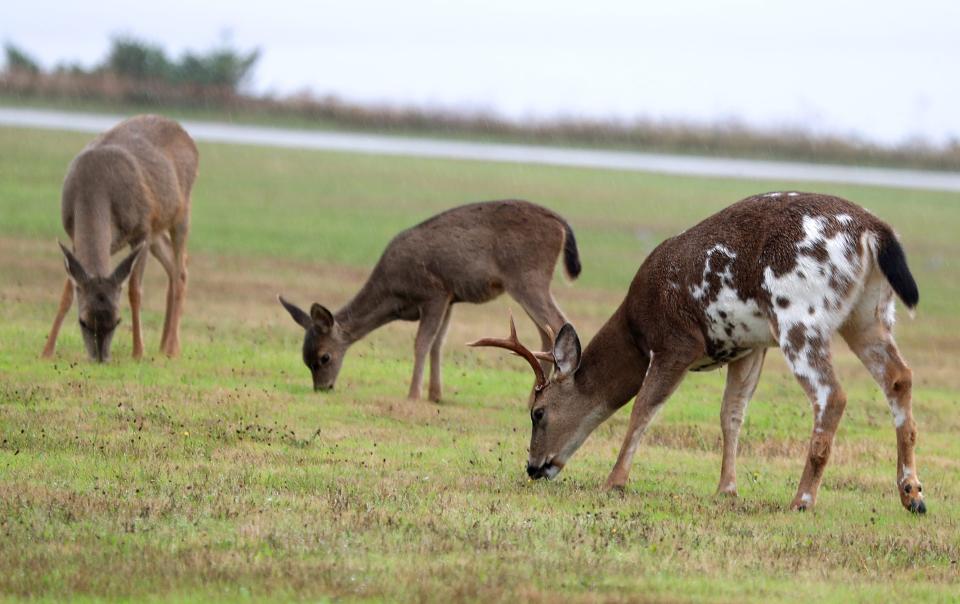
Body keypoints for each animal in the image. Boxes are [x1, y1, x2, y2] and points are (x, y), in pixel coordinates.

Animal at [41, 115, 199, 364]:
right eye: (83, 321)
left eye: (117, 321)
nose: (100, 359)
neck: (93, 187)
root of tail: (186, 133)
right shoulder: (73, 236)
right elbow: (67, 294)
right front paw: (47, 351)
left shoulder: (142, 230)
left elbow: (135, 291)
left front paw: (138, 351)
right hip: (157, 230)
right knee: (174, 266)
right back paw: (163, 345)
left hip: (181, 212)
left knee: (181, 270)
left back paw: (172, 348)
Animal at [274, 201, 580, 402]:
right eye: (305, 359)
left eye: (324, 357)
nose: (322, 388)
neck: (395, 295)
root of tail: (562, 223)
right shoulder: (451, 298)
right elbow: (437, 344)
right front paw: (435, 394)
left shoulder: (434, 292)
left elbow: (422, 342)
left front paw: (413, 394)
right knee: (546, 332)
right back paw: (532, 396)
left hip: (527, 277)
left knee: (559, 323)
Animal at [470, 193, 924, 516]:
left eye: (538, 411)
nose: (533, 467)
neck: (636, 327)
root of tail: (874, 231)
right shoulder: (749, 347)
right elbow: (732, 414)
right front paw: (727, 489)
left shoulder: (677, 341)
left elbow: (643, 408)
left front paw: (614, 481)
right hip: (869, 313)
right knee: (899, 376)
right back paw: (912, 494)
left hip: (798, 313)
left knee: (833, 394)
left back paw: (802, 500)